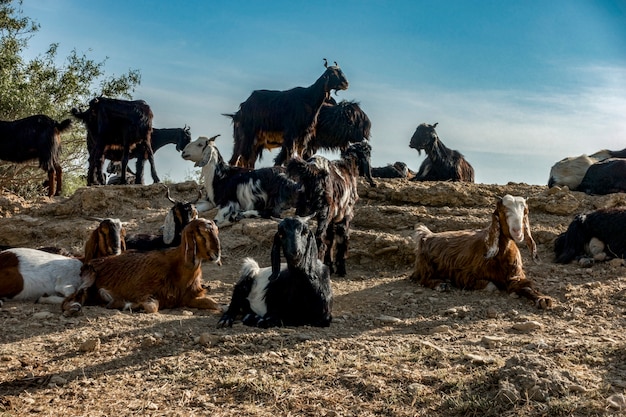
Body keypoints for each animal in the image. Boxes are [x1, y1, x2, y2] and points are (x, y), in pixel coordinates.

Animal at [61, 219, 222, 314]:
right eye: (201, 233)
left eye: (216, 231)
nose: (217, 254)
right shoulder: (143, 291)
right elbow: (152, 307)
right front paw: (128, 305)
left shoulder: (188, 297)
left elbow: (215, 304)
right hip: (90, 276)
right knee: (71, 298)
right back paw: (76, 307)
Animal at [286, 140, 372, 276]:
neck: (348, 167)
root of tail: (313, 171)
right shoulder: (346, 215)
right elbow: (343, 239)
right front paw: (341, 269)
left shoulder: (333, 220)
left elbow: (331, 240)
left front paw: (331, 267)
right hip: (324, 213)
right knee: (320, 242)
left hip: (303, 211)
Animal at [410, 193, 552, 308]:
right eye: (502, 211)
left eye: (525, 212)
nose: (517, 232)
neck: (499, 256)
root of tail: (427, 236)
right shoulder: (466, 275)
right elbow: (491, 286)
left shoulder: (515, 275)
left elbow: (527, 287)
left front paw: (543, 300)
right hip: (425, 266)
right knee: (423, 279)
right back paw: (442, 285)